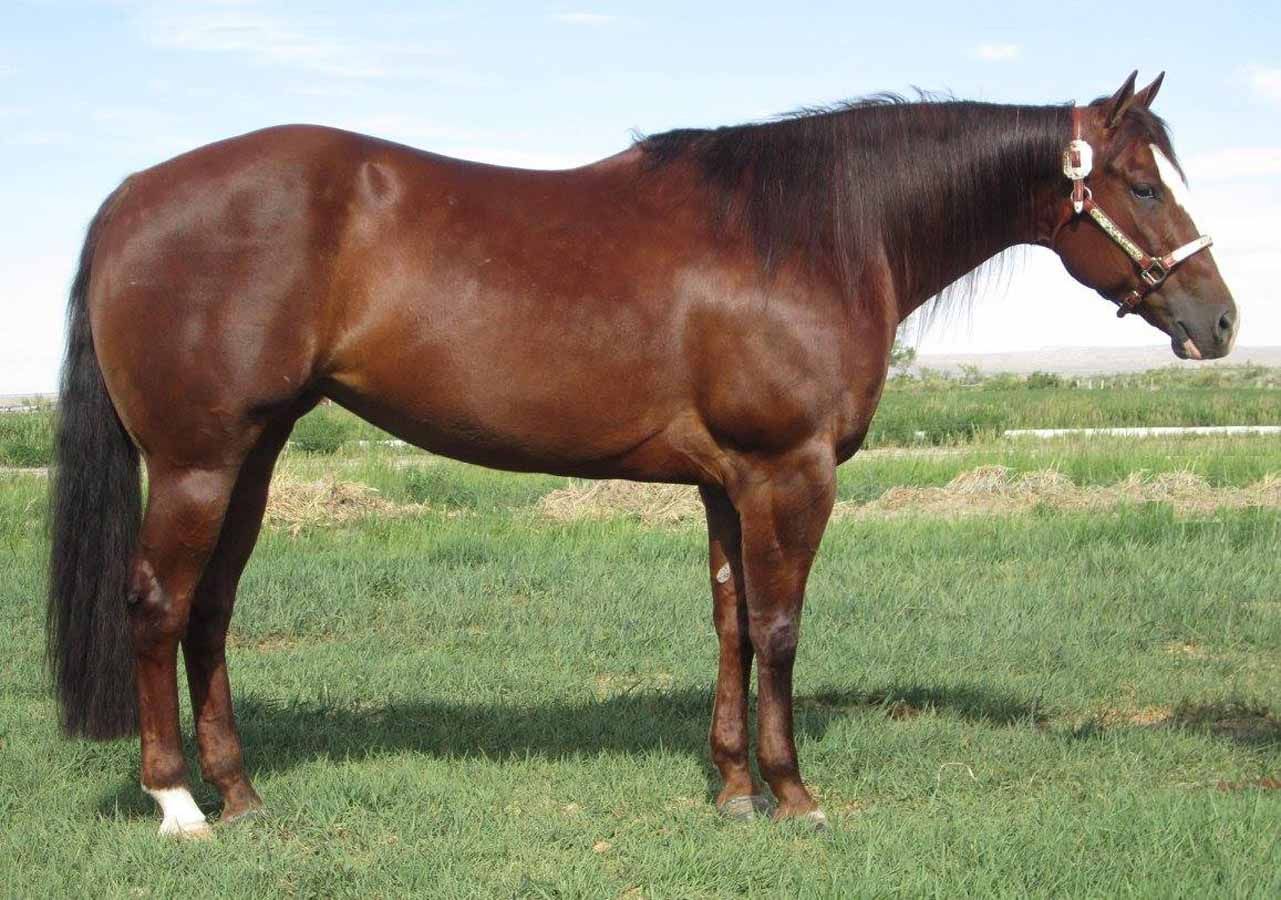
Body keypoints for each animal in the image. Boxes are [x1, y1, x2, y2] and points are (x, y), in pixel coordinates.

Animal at [48, 71, 1236, 837]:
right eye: (1139, 184)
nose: (1219, 321)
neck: (809, 236)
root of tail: (131, 195)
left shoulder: (727, 485)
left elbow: (731, 626)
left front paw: (732, 789)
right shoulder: (790, 473)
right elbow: (782, 630)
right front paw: (793, 796)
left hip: (253, 455)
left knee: (210, 611)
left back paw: (244, 797)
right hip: (198, 461)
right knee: (159, 604)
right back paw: (178, 805)